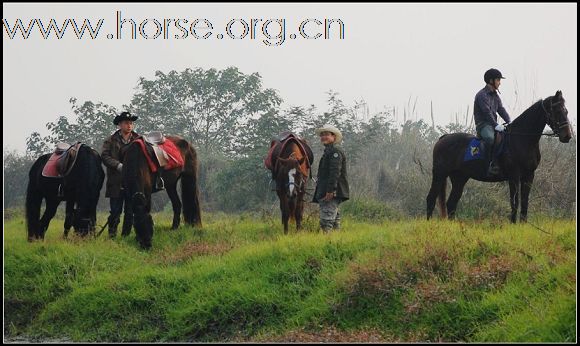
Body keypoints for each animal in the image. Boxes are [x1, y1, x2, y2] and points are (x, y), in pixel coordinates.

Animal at [426, 90, 572, 223]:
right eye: (557, 111)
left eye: (566, 111)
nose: (567, 136)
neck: (522, 139)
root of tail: (443, 138)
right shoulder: (514, 176)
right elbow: (514, 202)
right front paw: (513, 224)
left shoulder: (529, 176)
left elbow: (525, 202)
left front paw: (523, 224)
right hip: (440, 174)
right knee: (431, 198)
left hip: (459, 177)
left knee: (451, 203)